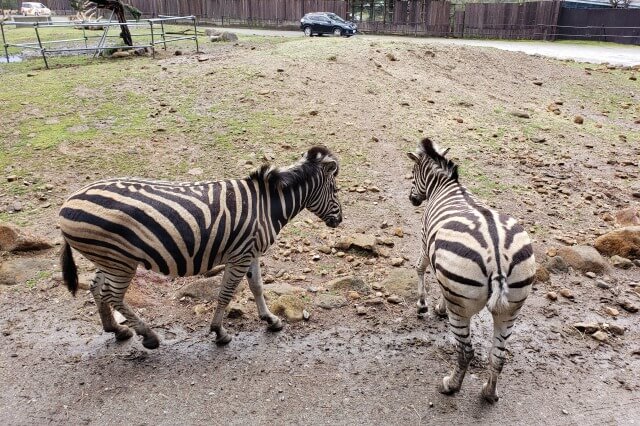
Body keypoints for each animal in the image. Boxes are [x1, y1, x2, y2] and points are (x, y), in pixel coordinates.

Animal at [58, 146, 344, 350]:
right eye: (336, 190)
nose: (339, 220)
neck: (267, 205)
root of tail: (67, 204)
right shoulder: (241, 255)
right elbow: (226, 293)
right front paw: (219, 332)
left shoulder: (251, 251)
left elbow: (257, 287)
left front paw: (271, 320)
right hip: (120, 260)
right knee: (112, 295)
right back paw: (149, 336)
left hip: (109, 258)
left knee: (97, 287)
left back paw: (116, 330)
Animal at [408, 138, 536, 404]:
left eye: (413, 174)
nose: (412, 199)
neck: (446, 186)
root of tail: (497, 257)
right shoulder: (444, 267)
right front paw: (438, 306)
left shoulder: (426, 240)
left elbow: (420, 267)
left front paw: (423, 305)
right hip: (511, 308)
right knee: (498, 355)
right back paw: (489, 393)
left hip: (462, 309)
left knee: (465, 351)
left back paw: (450, 385)